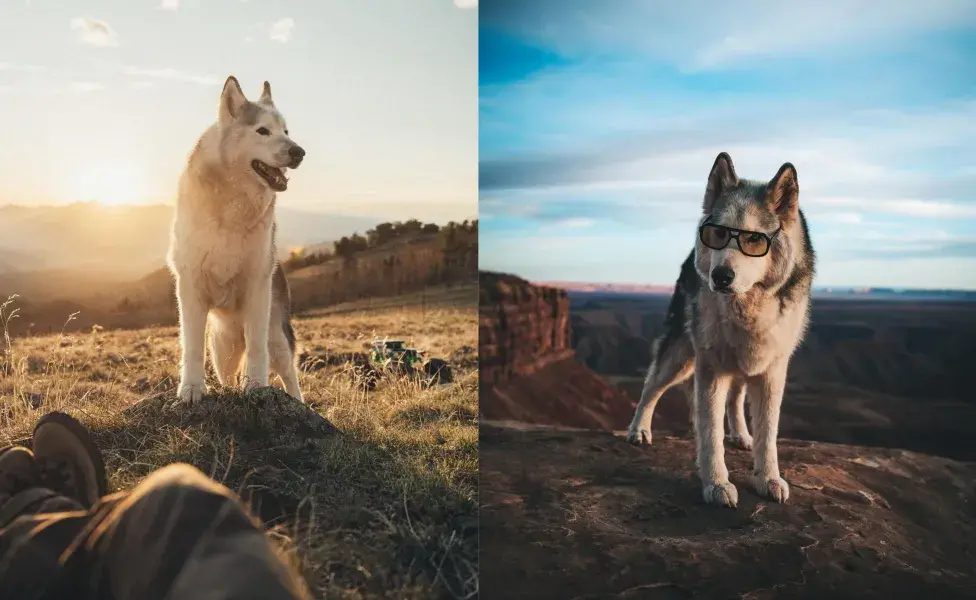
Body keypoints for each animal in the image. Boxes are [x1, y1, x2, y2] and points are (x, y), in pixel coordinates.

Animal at [166, 74, 304, 404]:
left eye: (286, 131)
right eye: (263, 131)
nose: (299, 152)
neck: (232, 208)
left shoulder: (257, 287)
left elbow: (256, 350)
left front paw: (256, 386)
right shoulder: (190, 287)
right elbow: (191, 348)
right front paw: (191, 389)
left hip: (276, 336)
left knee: (289, 374)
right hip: (223, 347)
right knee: (226, 373)